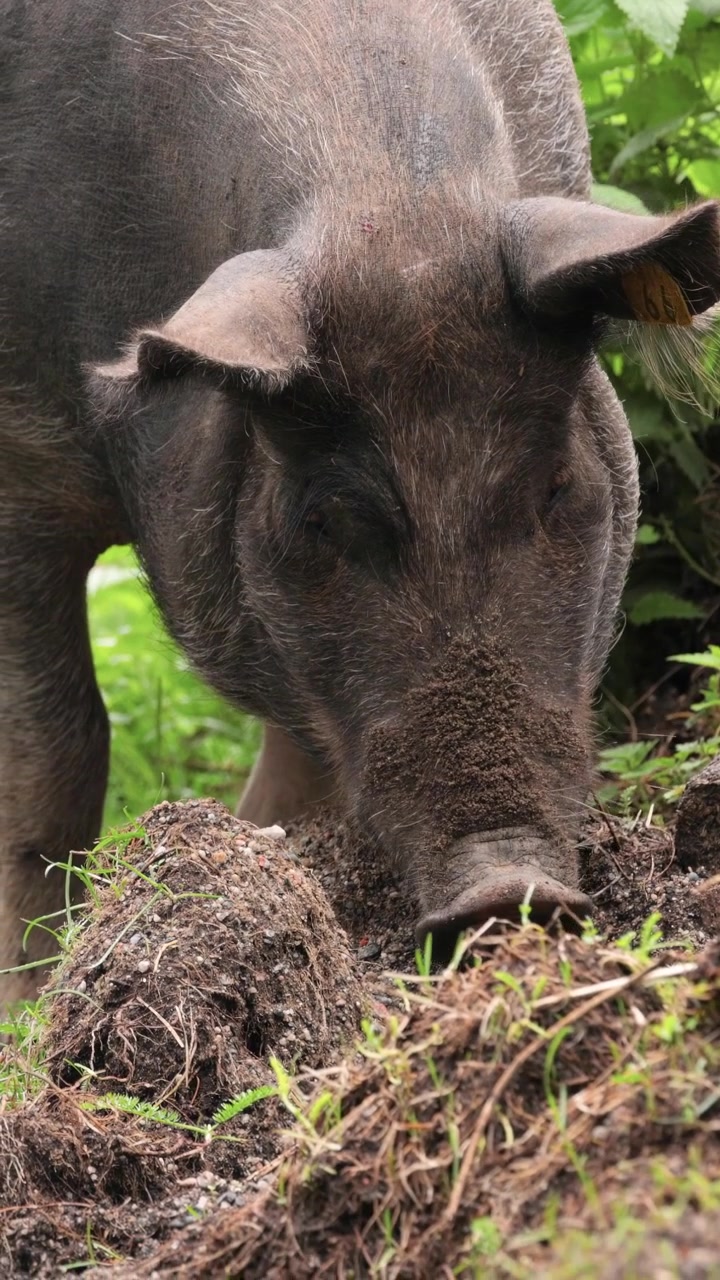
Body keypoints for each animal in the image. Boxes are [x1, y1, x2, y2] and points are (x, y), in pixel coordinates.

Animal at [2, 0, 720, 1009]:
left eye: (555, 487)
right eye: (327, 521)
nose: (508, 889)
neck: (391, 212)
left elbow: (306, 762)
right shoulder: (21, 471)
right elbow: (55, 755)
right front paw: (28, 1014)